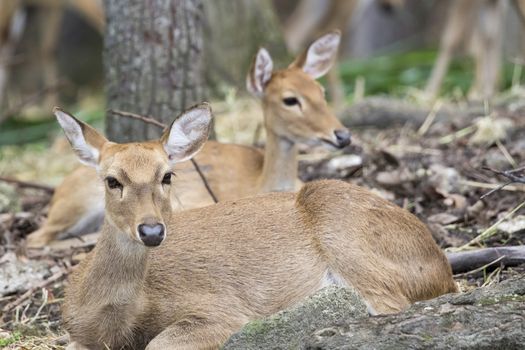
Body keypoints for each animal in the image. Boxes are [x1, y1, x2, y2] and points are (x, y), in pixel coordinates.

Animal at [25, 31, 352, 247]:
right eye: (290, 100)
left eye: (321, 92)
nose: (343, 135)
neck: (260, 182)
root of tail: (58, 190)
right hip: (75, 205)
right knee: (36, 239)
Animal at [54, 104, 454, 350]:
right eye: (112, 180)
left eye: (167, 176)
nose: (152, 231)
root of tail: (442, 265)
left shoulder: (223, 310)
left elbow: (160, 343)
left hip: (344, 233)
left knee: (390, 304)